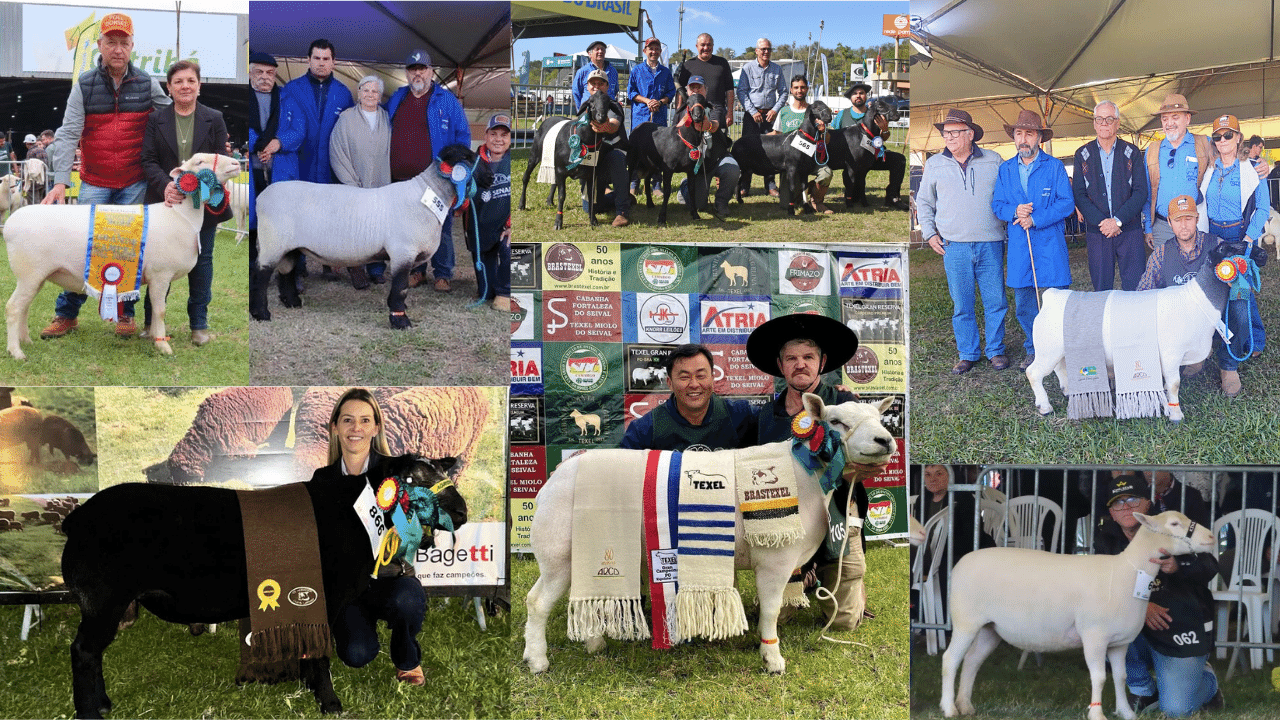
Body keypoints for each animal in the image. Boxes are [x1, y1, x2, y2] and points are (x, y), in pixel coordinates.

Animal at [3, 150, 240, 356]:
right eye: (199, 162)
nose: (237, 163)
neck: (180, 215)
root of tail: (9, 225)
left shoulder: (156, 275)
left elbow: (155, 309)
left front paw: (154, 337)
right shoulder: (161, 274)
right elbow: (160, 310)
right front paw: (163, 346)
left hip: (36, 276)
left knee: (24, 307)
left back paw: (26, 341)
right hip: (29, 272)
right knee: (13, 308)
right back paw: (16, 352)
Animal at [252, 143, 491, 327]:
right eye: (466, 158)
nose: (491, 176)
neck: (426, 196)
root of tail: (261, 197)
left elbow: (402, 288)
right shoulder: (403, 251)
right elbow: (401, 288)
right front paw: (400, 320)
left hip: (288, 246)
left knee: (286, 272)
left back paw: (292, 302)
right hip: (272, 242)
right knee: (260, 275)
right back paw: (261, 314)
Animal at [524, 392, 896, 671]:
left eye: (879, 419)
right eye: (836, 422)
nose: (885, 440)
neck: (802, 475)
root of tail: (555, 477)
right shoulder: (774, 558)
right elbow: (772, 609)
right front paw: (772, 658)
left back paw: (589, 643)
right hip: (559, 551)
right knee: (537, 602)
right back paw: (538, 661)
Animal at [947, 507, 1213, 717]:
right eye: (1174, 523)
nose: (1211, 536)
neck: (1129, 573)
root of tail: (961, 562)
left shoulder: (1120, 643)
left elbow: (1120, 677)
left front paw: (1126, 712)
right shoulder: (1094, 636)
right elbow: (1099, 677)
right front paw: (1097, 713)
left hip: (989, 628)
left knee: (971, 661)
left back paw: (966, 706)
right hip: (965, 621)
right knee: (951, 659)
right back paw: (950, 709)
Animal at [1029, 240, 1239, 420]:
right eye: (1224, 249)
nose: (1248, 247)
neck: (1197, 301)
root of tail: (1052, 296)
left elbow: (1168, 384)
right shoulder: (1171, 353)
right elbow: (1174, 385)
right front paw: (1176, 414)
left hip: (1056, 349)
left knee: (1059, 367)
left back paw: (1066, 390)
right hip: (1047, 350)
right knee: (1033, 373)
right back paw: (1045, 407)